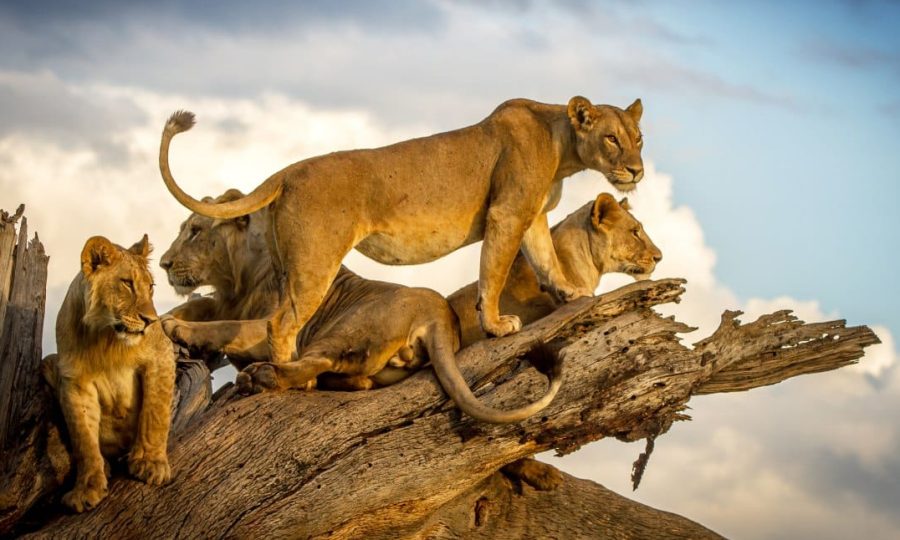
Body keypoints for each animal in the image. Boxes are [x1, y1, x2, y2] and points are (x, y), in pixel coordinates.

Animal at [42, 235, 174, 512]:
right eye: (127, 283)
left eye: (151, 287)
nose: (151, 321)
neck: (107, 338)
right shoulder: (75, 381)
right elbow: (83, 438)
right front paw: (86, 488)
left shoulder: (161, 355)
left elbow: (155, 415)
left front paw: (150, 463)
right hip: (48, 364)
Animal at [158, 96, 644, 366]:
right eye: (611, 139)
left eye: (638, 138)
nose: (637, 171)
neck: (562, 144)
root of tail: (289, 170)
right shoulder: (506, 213)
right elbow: (494, 273)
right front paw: (496, 325)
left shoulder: (532, 215)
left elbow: (546, 261)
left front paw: (571, 293)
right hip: (315, 262)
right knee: (280, 324)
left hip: (286, 266)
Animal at [160, 192, 562, 423]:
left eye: (195, 230)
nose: (163, 263)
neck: (237, 280)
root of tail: (440, 319)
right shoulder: (222, 300)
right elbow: (203, 306)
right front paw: (166, 318)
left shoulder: (274, 323)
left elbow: (228, 327)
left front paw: (178, 330)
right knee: (349, 376)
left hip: (345, 327)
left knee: (310, 366)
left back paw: (258, 377)